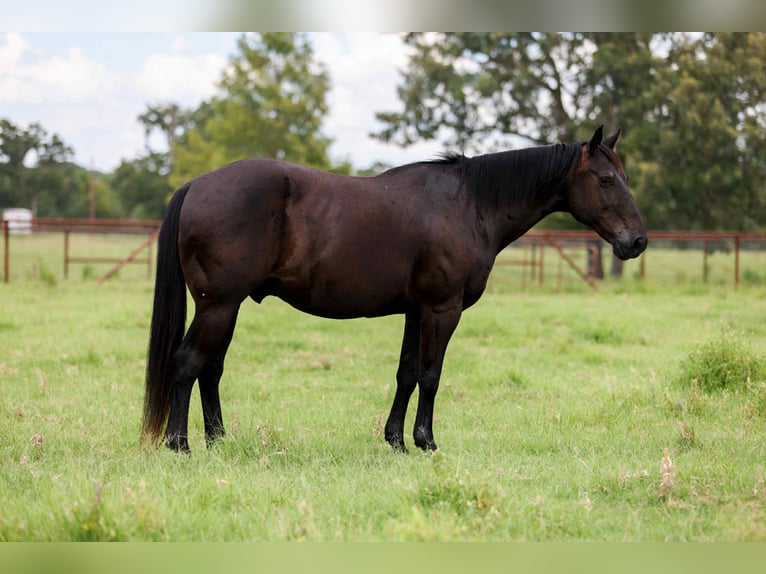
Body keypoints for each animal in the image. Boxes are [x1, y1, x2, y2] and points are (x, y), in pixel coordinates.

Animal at [142, 126, 647, 453]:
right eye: (606, 180)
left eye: (624, 177)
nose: (637, 241)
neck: (469, 205)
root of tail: (198, 184)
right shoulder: (442, 309)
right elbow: (431, 375)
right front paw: (425, 442)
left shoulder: (414, 310)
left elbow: (406, 374)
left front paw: (396, 441)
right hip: (218, 306)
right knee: (187, 364)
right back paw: (179, 445)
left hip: (225, 308)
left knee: (210, 369)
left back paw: (218, 440)